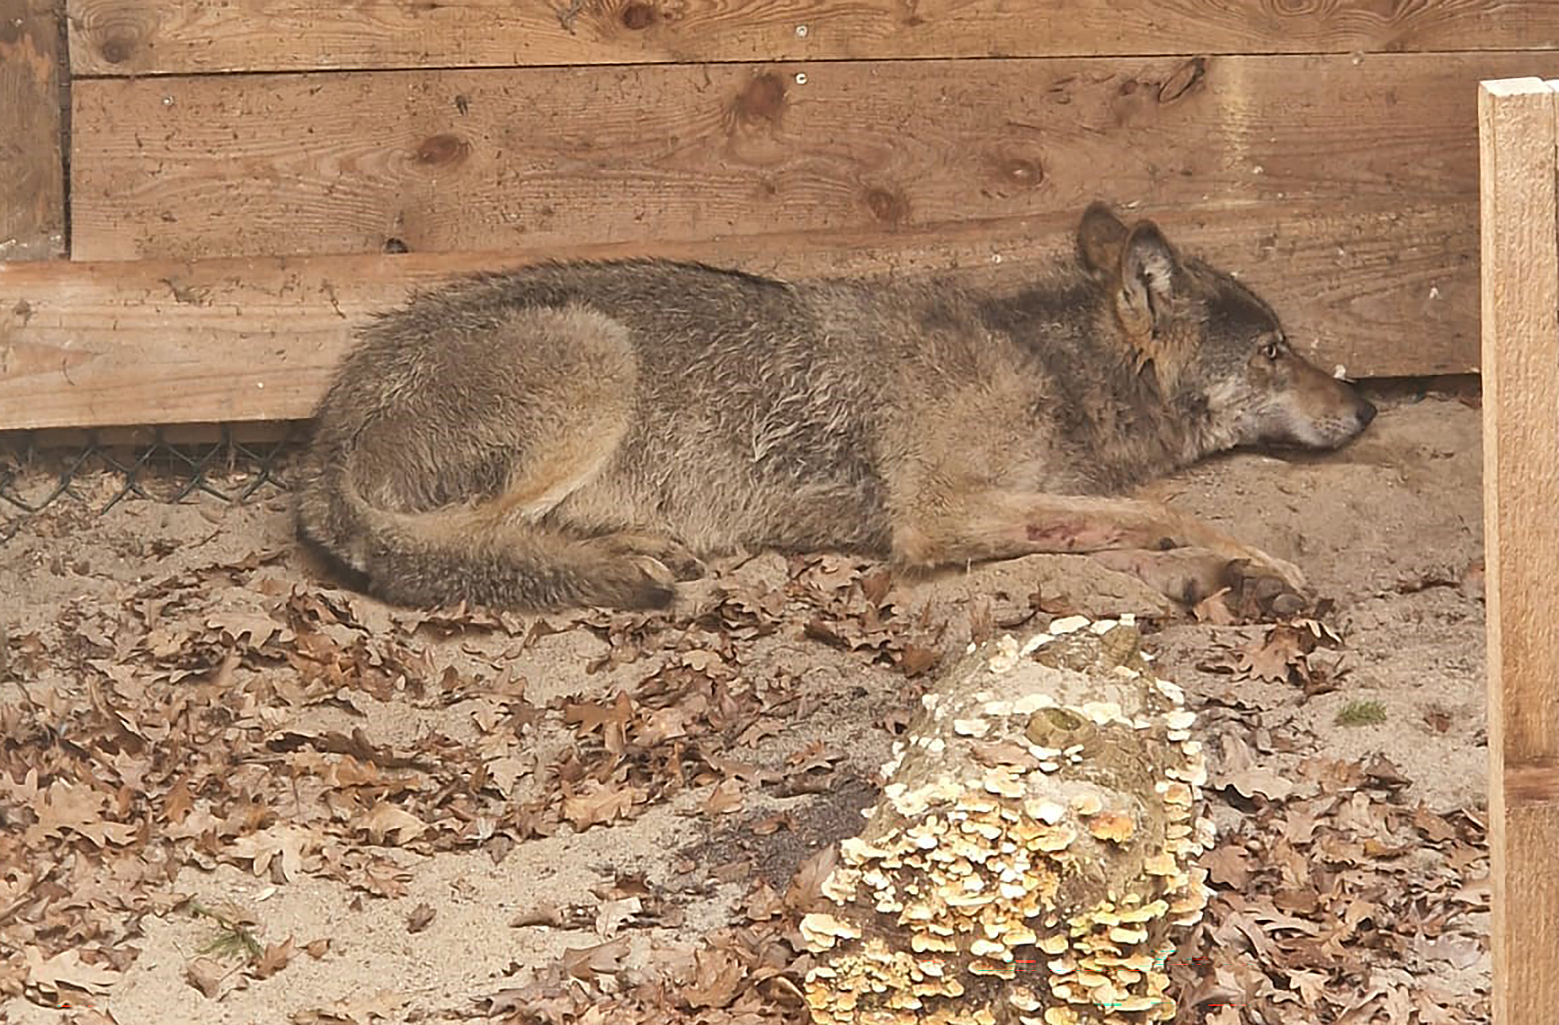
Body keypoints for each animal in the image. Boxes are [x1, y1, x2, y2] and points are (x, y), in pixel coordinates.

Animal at [294, 202, 1376, 612]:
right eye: (1275, 351)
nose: (1365, 405)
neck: (1049, 366)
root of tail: (322, 435)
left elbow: (1122, 520)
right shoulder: (936, 512)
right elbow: (1164, 511)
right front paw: (1258, 561)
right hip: (596, 357)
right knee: (462, 544)